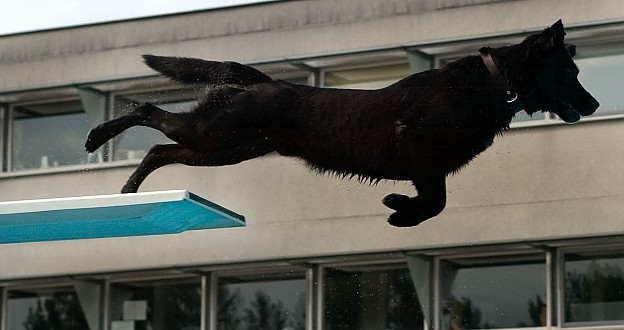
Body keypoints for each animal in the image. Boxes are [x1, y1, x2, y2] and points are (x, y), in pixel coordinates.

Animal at [84, 20, 600, 227]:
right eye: (570, 72)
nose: (594, 104)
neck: (494, 84)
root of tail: (260, 81)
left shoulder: (427, 166)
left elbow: (435, 203)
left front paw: (400, 206)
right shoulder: (420, 153)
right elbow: (436, 203)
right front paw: (400, 210)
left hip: (224, 148)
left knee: (159, 149)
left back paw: (129, 189)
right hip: (215, 137)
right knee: (146, 113)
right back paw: (96, 138)